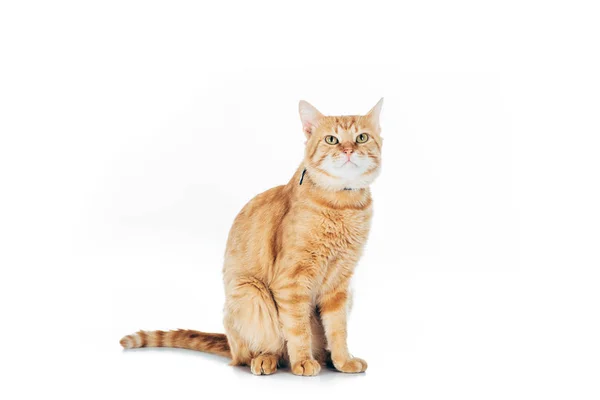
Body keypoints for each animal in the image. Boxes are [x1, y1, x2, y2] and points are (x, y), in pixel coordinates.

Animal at [120, 98, 384, 376]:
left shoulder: (340, 284)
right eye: (332, 140)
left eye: (362, 137)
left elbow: (337, 329)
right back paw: (268, 360)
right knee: (258, 352)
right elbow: (298, 329)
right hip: (251, 292)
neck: (344, 206)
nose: (348, 150)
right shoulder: (291, 282)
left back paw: (328, 360)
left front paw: (343, 360)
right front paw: (302, 361)